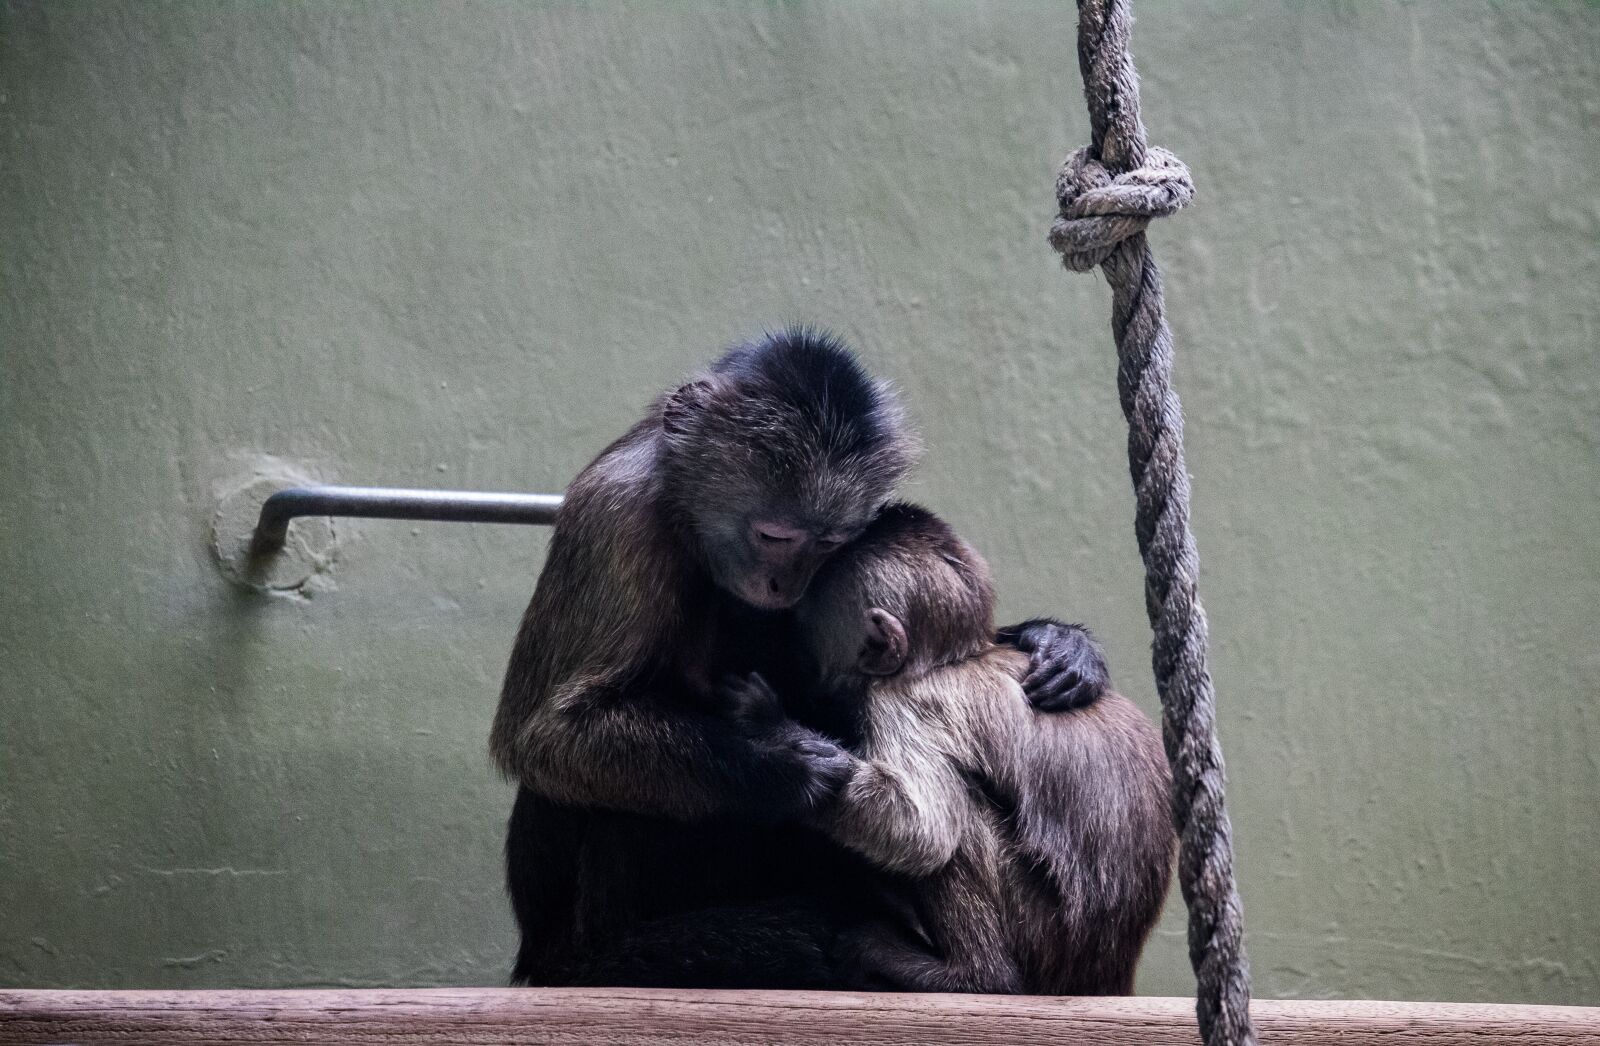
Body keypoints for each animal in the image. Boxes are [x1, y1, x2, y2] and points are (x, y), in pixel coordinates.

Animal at [492, 327, 1115, 987]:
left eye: (829, 543)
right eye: (775, 536)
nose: (784, 584)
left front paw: (1056, 641)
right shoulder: (618, 515)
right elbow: (547, 738)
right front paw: (779, 769)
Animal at [720, 501, 1176, 994]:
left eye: (804, 642)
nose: (802, 670)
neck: (951, 660)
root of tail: (1106, 974)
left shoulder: (902, 702)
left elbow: (924, 832)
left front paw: (776, 738)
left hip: (1043, 935)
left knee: (959, 819)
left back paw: (974, 975)